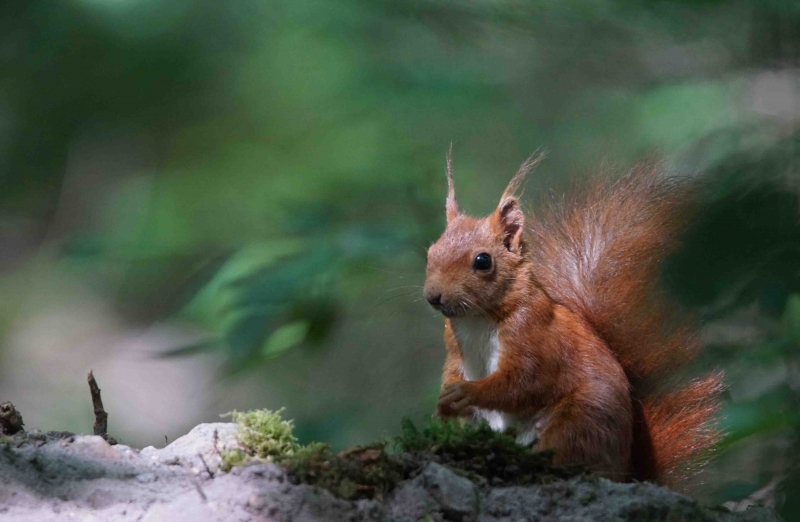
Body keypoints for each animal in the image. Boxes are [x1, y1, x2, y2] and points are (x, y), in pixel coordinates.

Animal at [424, 150, 724, 488]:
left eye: (483, 261)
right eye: (431, 251)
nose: (433, 296)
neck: (476, 320)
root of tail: (623, 473)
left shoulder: (534, 336)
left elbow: (523, 383)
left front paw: (468, 392)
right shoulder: (455, 349)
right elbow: (453, 373)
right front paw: (443, 404)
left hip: (579, 423)